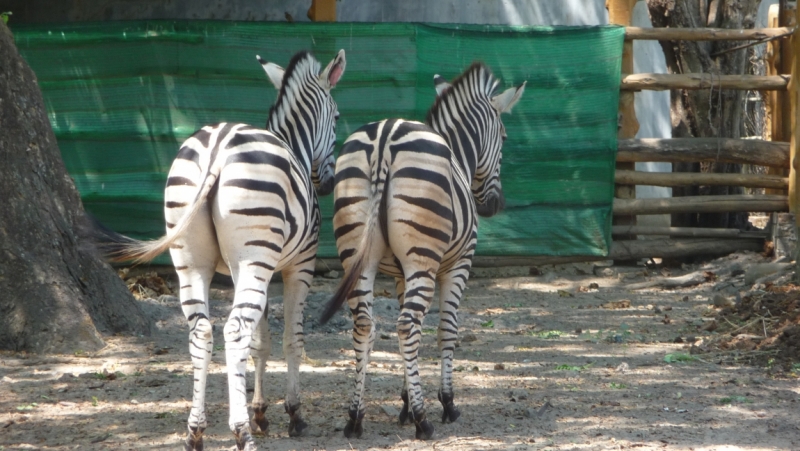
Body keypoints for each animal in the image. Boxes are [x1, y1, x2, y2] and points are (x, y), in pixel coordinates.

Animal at [101, 49, 346, 451]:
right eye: (338, 117)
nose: (327, 183)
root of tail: (219, 145)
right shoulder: (300, 265)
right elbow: (290, 339)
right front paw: (292, 414)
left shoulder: (248, 268)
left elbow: (260, 341)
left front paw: (261, 411)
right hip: (253, 259)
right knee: (233, 330)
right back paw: (240, 432)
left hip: (193, 259)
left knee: (202, 330)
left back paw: (195, 431)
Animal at [318, 61, 524, 440]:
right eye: (503, 137)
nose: (494, 206)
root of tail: (385, 137)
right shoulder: (458, 265)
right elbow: (446, 330)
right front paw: (445, 403)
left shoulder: (401, 274)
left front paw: (402, 402)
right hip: (422, 260)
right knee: (406, 325)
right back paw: (423, 420)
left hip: (357, 255)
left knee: (366, 325)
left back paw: (355, 417)